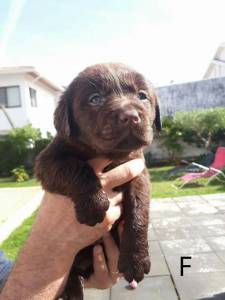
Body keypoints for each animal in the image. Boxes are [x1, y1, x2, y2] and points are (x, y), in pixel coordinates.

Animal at [35, 62, 161, 298]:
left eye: (142, 96)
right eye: (95, 99)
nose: (130, 116)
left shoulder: (137, 171)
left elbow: (138, 211)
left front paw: (136, 260)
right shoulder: (48, 161)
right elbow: (78, 168)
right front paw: (94, 204)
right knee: (70, 273)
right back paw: (72, 291)